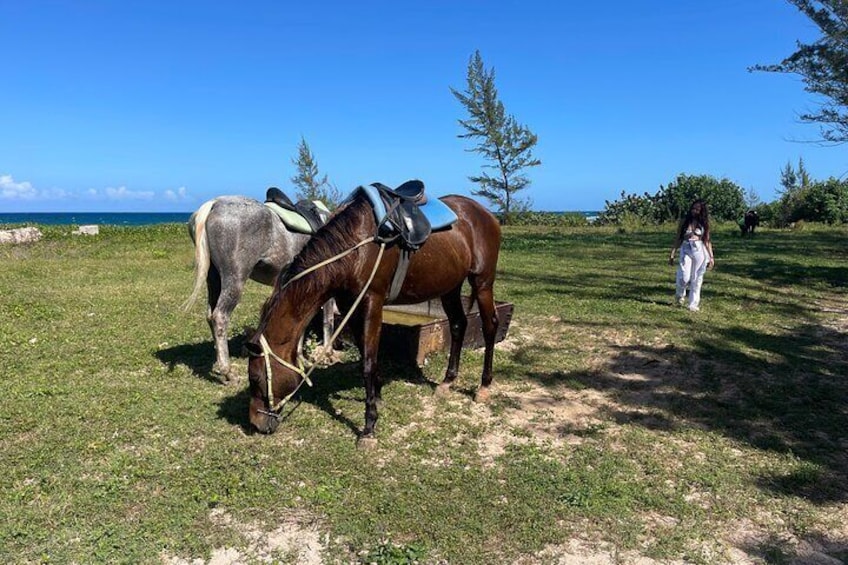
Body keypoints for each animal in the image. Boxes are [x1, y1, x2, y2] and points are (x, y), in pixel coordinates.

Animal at [186, 194, 332, 378]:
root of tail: (215, 204)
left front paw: (299, 357)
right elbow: (328, 320)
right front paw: (326, 355)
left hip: (214, 279)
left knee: (210, 315)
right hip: (234, 280)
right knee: (220, 316)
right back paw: (227, 371)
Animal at [242, 192, 500, 442]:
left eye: (255, 379)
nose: (255, 424)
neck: (354, 248)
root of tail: (486, 214)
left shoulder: (372, 303)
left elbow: (368, 363)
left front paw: (369, 427)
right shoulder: (351, 306)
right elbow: (367, 357)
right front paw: (377, 396)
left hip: (482, 282)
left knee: (490, 326)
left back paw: (484, 386)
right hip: (450, 288)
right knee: (458, 324)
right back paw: (448, 381)